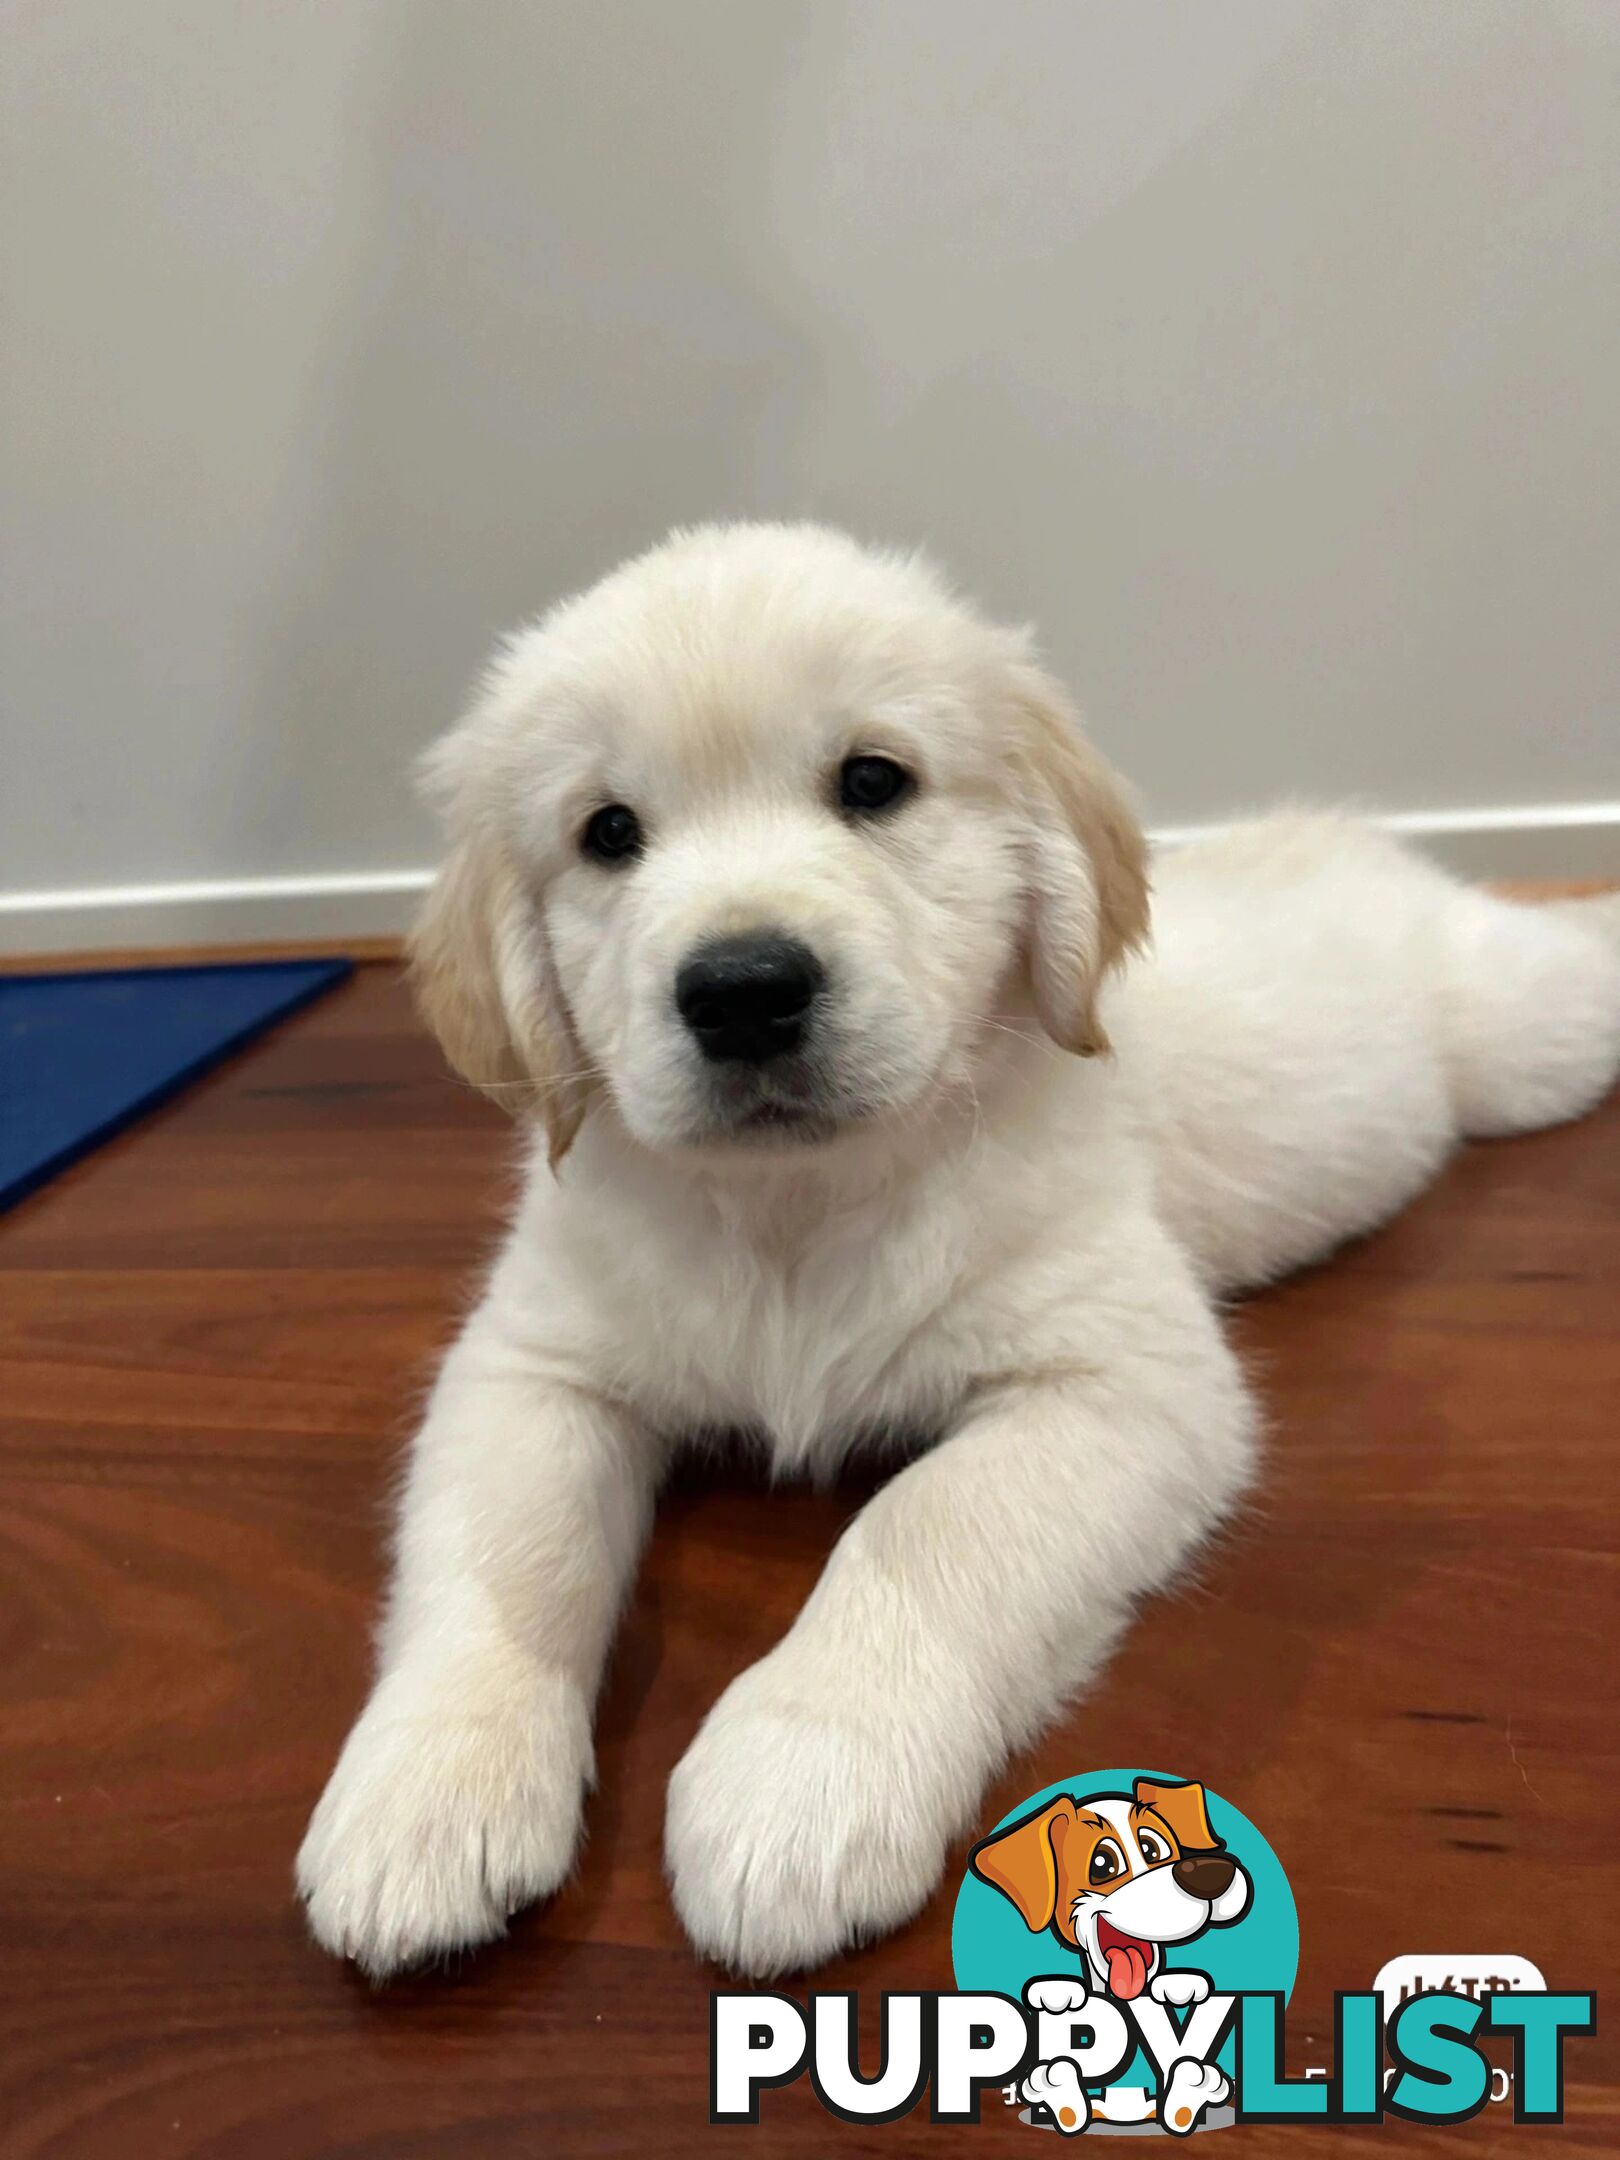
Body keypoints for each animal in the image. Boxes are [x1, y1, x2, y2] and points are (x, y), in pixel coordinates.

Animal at [298, 518, 1615, 1978]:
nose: (744, 991)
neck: (799, 1207)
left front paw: (800, 1774)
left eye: (875, 781)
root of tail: (1348, 840)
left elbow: (923, 1528)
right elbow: (503, 1552)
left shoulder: (1121, 1379)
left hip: (1528, 1042)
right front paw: (428, 1786)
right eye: (607, 833)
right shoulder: (533, 1363)